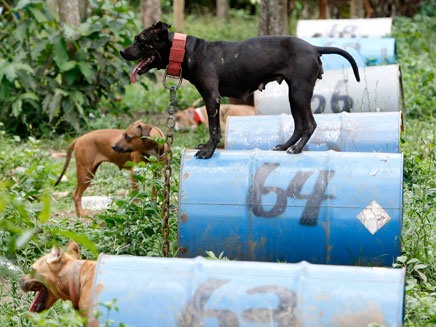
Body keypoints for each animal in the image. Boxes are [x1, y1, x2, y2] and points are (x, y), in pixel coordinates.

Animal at [121, 21, 360, 160]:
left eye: (140, 40)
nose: (122, 51)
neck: (185, 51)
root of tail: (313, 47)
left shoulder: (212, 98)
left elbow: (214, 129)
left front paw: (208, 151)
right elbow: (214, 129)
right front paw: (207, 147)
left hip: (299, 93)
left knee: (310, 124)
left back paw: (297, 149)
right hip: (294, 96)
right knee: (299, 125)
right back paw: (285, 146)